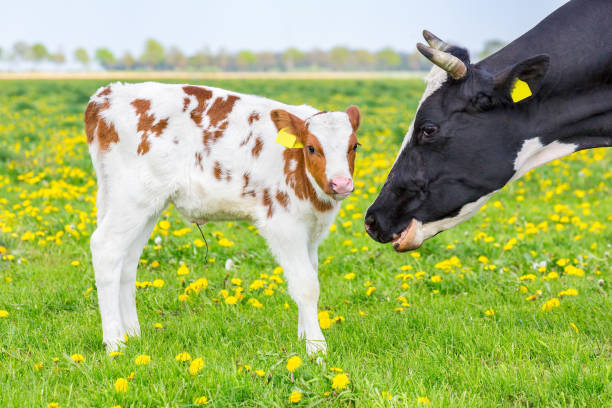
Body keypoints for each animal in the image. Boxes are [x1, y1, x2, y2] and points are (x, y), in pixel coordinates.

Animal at [84, 82, 360, 354]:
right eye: (312, 147)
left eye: (354, 146)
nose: (341, 183)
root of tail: (107, 94)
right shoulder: (284, 225)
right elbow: (306, 285)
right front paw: (316, 347)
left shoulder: (311, 231)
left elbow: (310, 274)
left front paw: (304, 337)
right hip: (131, 197)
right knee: (106, 248)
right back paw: (115, 342)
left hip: (145, 205)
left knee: (128, 261)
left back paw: (133, 334)